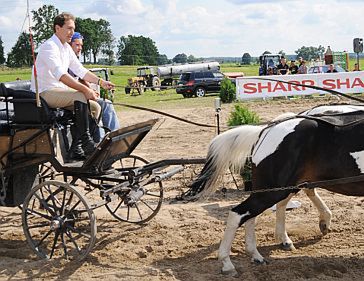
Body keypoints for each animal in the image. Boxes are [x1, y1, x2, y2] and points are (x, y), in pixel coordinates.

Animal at [188, 103, 364, 276]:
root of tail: (265, 131)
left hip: (280, 188)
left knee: (254, 214)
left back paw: (257, 255)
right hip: (273, 190)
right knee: (238, 214)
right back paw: (227, 263)